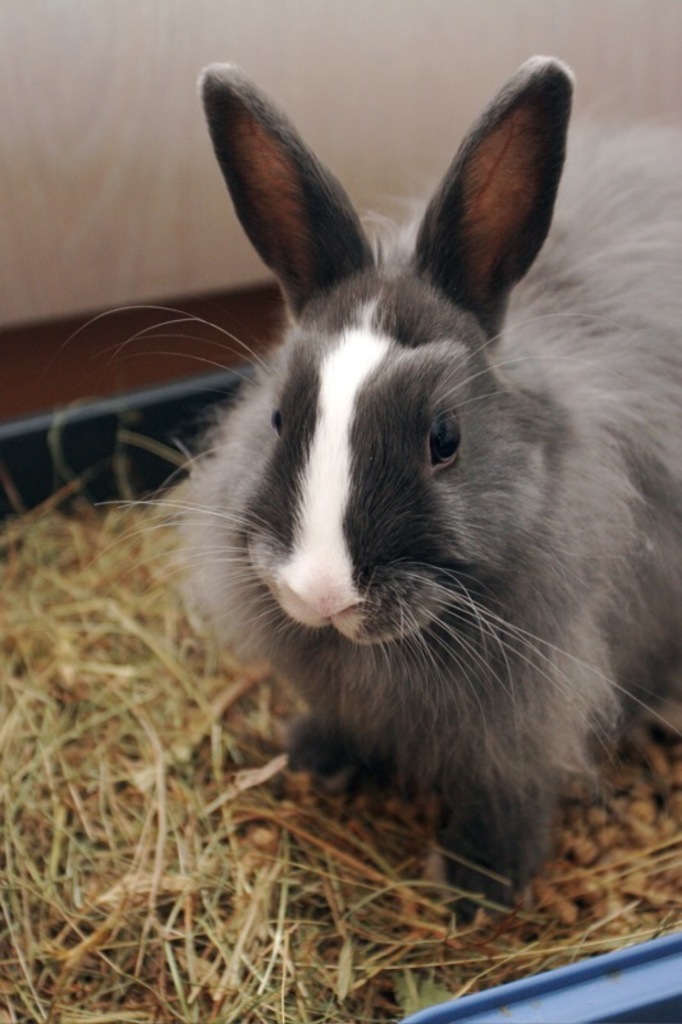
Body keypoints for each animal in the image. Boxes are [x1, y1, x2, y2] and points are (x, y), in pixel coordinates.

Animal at [179, 56, 682, 915]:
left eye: (445, 439)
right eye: (277, 417)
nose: (321, 593)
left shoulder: (531, 714)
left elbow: (508, 793)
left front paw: (480, 883)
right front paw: (317, 757)